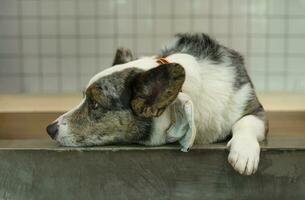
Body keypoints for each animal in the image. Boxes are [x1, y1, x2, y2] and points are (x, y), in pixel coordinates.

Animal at [46, 33, 268, 176]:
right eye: (84, 98)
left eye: (95, 104)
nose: (49, 129)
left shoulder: (254, 109)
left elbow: (245, 122)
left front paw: (244, 153)